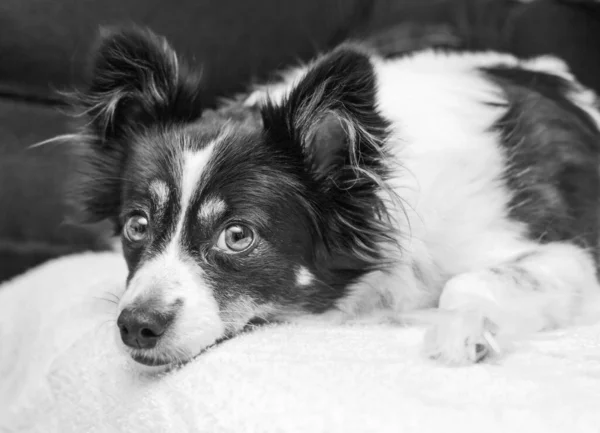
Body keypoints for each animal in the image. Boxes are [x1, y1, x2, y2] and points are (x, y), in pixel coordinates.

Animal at [72, 26, 600, 364]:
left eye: (237, 236)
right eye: (137, 225)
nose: (134, 326)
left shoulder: (568, 254)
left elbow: (473, 280)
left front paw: (460, 329)